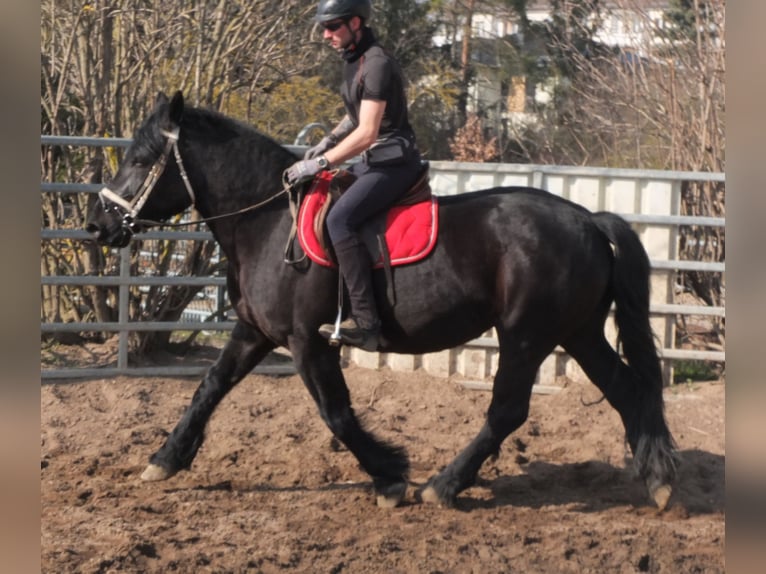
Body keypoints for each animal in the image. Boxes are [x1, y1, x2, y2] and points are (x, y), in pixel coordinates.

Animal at [87, 92, 680, 510]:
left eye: (140, 160)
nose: (98, 226)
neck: (269, 220)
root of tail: (588, 218)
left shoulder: (307, 341)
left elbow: (336, 413)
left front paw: (391, 475)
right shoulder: (254, 332)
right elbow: (209, 388)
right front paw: (165, 459)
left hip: (527, 336)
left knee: (508, 410)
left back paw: (444, 485)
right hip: (576, 332)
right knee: (627, 389)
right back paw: (657, 483)